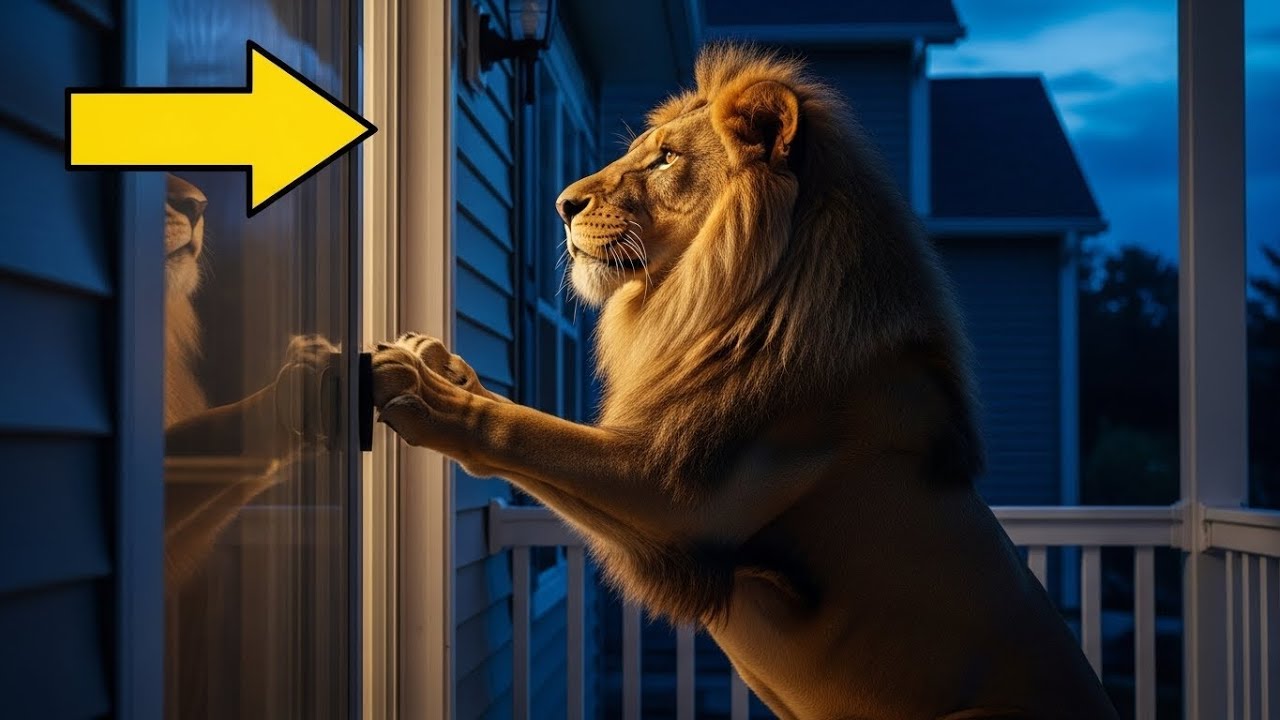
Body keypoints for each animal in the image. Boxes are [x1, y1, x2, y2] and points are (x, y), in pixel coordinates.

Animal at [372, 45, 1119, 719]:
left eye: (665, 159)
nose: (562, 205)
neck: (705, 304)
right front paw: (432, 357)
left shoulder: (673, 492)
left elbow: (530, 431)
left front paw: (424, 394)